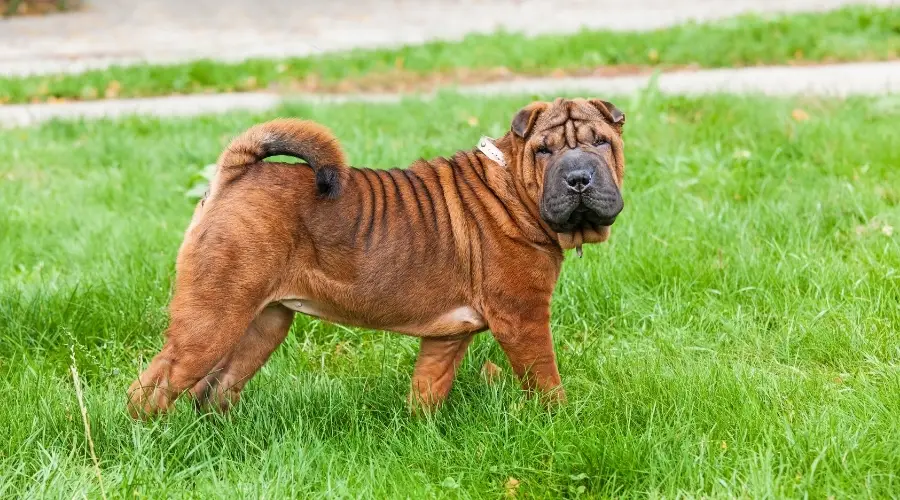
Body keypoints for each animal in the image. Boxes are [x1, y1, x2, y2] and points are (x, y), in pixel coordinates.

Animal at [126, 97, 624, 418]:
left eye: (601, 143)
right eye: (544, 150)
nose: (579, 178)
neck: (514, 188)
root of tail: (236, 175)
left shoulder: (448, 337)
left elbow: (428, 387)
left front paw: (421, 434)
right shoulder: (523, 318)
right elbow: (545, 380)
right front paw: (562, 424)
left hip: (263, 324)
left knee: (214, 390)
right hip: (211, 321)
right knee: (152, 387)